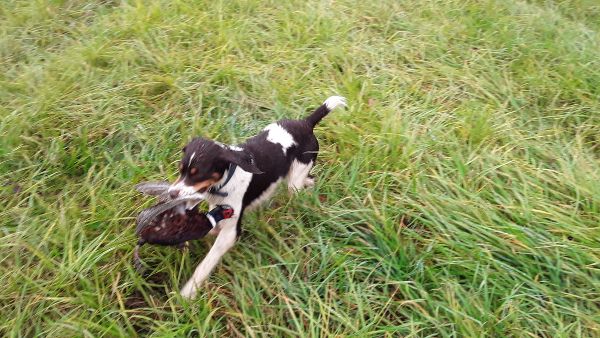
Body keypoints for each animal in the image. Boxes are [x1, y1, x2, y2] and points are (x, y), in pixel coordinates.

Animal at [169, 95, 346, 298]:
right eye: (180, 171)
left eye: (197, 174)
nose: (172, 193)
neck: (225, 180)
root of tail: (306, 123)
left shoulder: (230, 232)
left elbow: (206, 262)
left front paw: (188, 291)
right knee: (308, 180)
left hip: (295, 179)